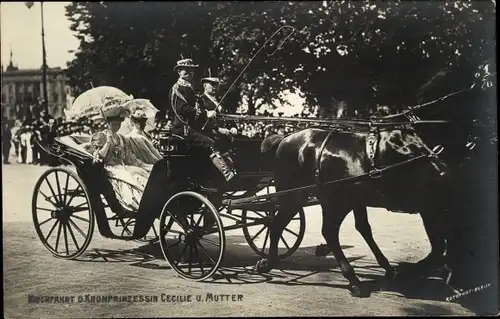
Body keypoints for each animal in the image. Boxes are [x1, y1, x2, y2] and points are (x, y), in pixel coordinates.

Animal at [256, 126, 448, 298]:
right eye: (410, 154)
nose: (442, 172)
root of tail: (284, 139)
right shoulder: (340, 201)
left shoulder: (357, 202)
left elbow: (364, 228)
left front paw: (390, 268)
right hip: (297, 196)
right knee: (316, 230)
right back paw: (353, 279)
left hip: (301, 198)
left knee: (278, 225)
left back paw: (269, 262)